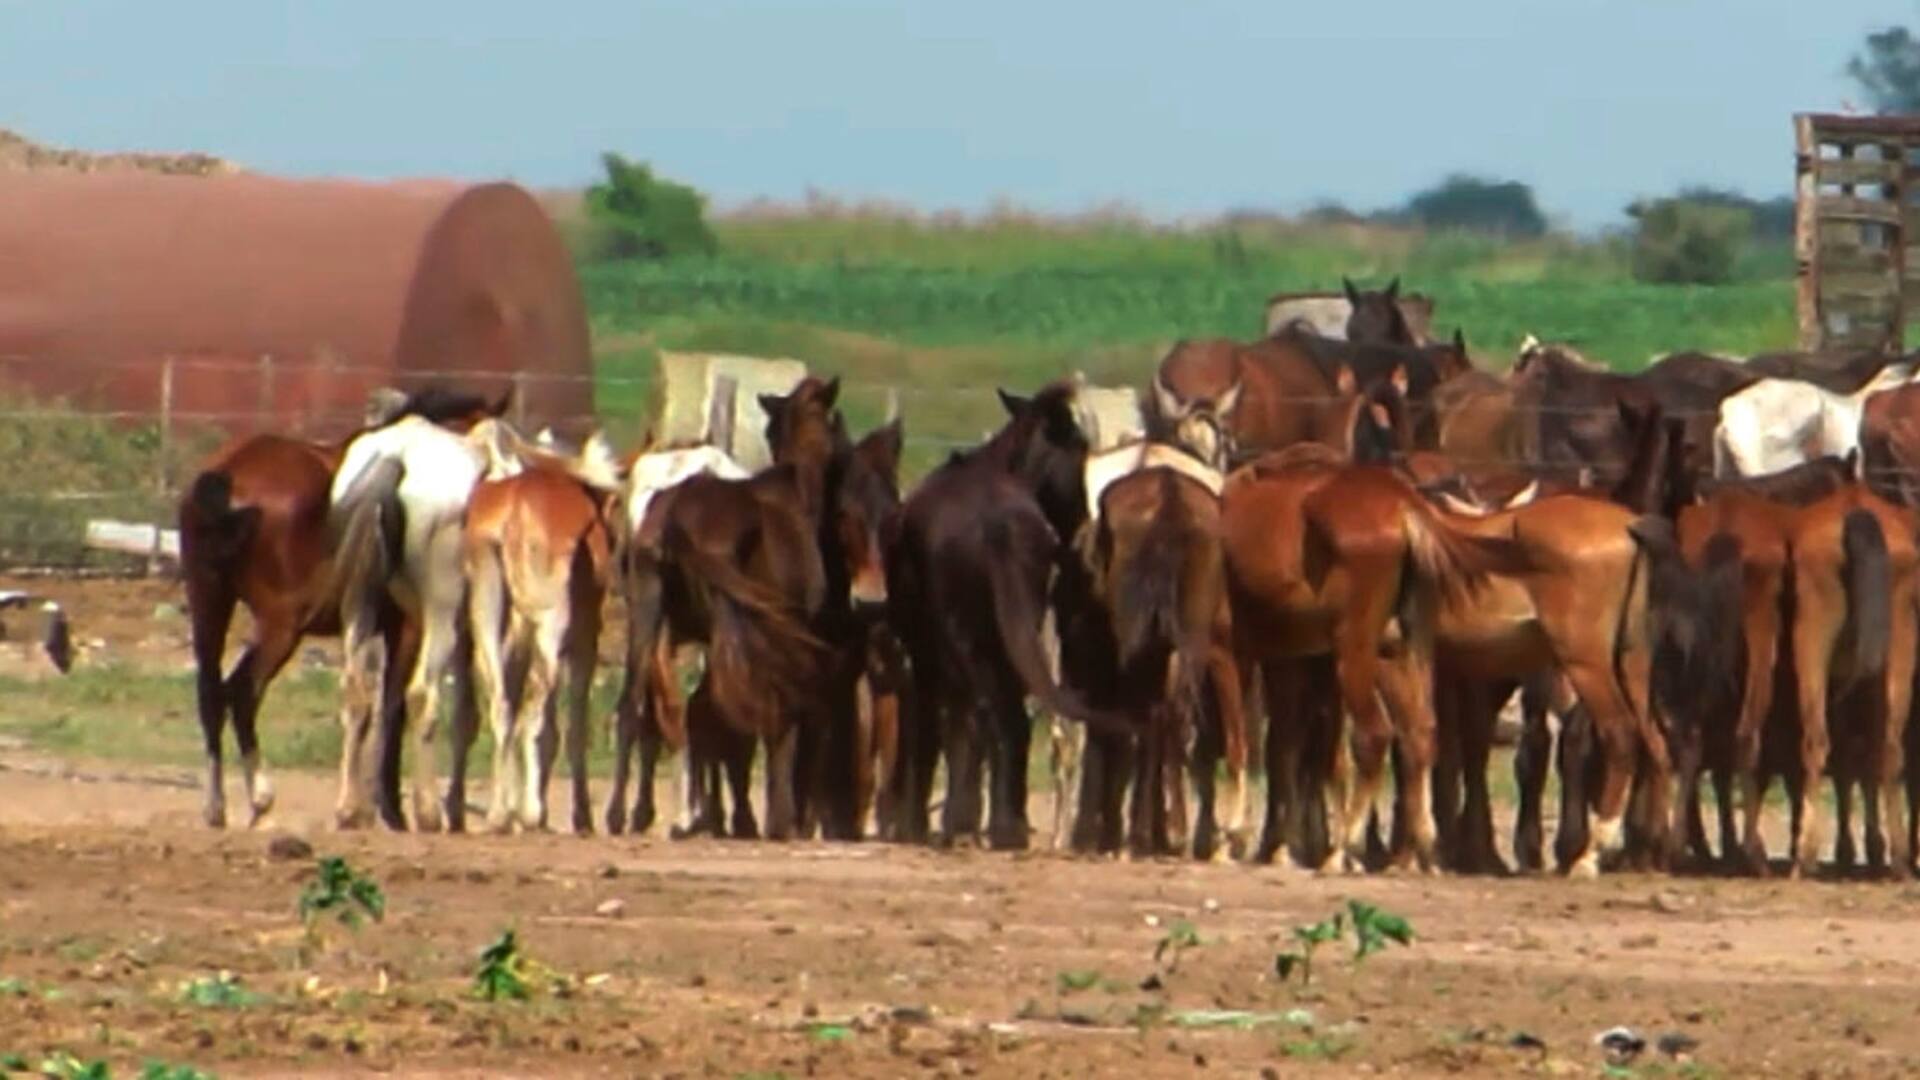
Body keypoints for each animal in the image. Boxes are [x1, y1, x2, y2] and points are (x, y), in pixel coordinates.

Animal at [181, 385, 510, 830]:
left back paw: (217, 806)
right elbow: (393, 706)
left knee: (211, 693)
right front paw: (391, 808)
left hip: (209, 602)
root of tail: (229, 473)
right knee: (244, 691)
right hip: (282, 625)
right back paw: (262, 797)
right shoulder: (407, 627)